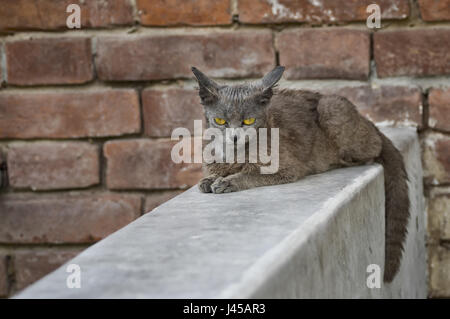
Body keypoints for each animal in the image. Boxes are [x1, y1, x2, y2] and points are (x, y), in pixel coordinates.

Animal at [192, 66, 410, 284]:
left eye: (248, 121)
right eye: (220, 121)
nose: (235, 137)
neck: (233, 155)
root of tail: (365, 119)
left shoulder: (287, 168)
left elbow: (250, 173)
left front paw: (226, 182)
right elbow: (213, 172)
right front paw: (208, 180)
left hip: (332, 111)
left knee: (374, 147)